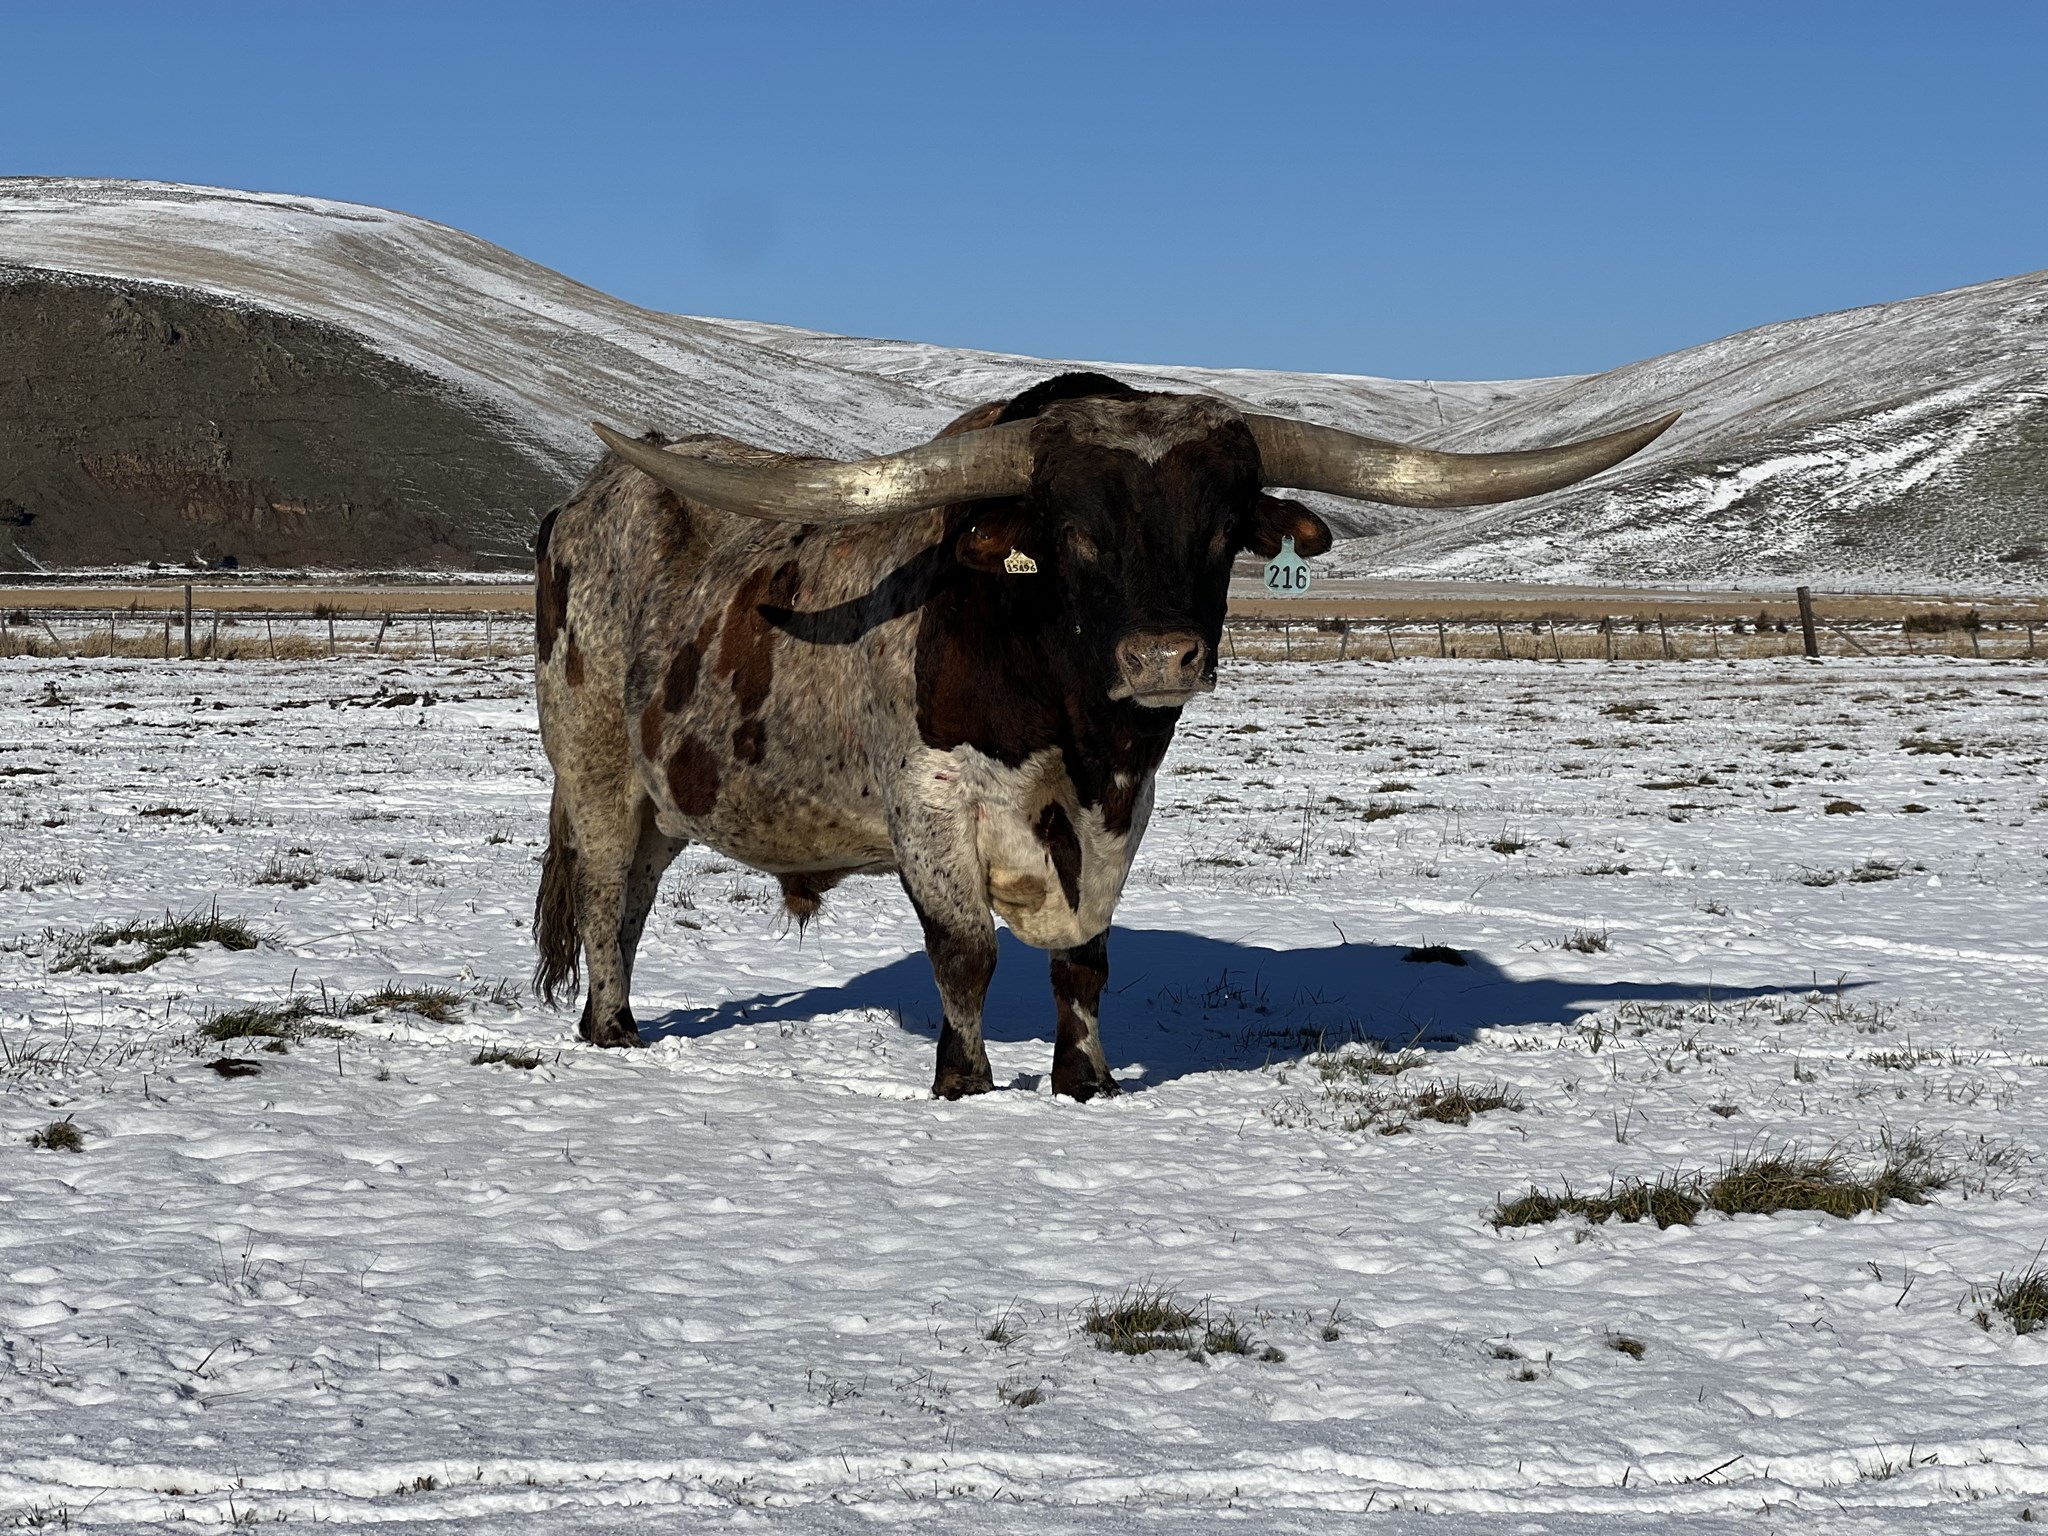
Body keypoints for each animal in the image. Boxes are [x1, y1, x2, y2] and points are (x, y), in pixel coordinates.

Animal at [532, 372, 1675, 1099]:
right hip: (595, 769)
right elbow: (965, 954)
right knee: (603, 894)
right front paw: (966, 1079)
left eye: (1222, 529)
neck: (1074, 728)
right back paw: (611, 1029)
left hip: (666, 799)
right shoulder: (928, 805)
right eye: (1075, 531)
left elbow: (1084, 961)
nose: (1161, 657)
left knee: (631, 901)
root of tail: (587, 502)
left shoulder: (1122, 808)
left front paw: (1085, 1078)